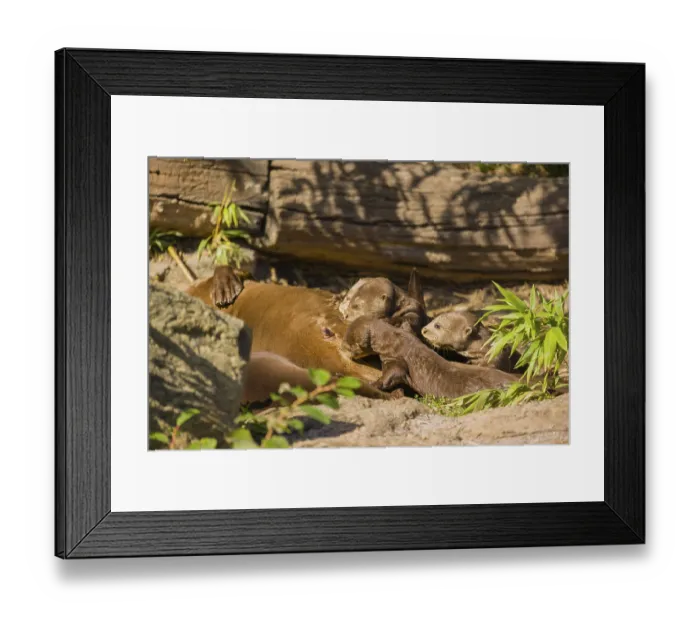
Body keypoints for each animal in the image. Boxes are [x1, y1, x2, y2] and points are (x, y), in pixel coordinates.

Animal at [340, 316, 518, 399]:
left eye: (349, 345)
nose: (342, 348)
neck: (394, 340)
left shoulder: (394, 359)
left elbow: (393, 374)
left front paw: (373, 383)